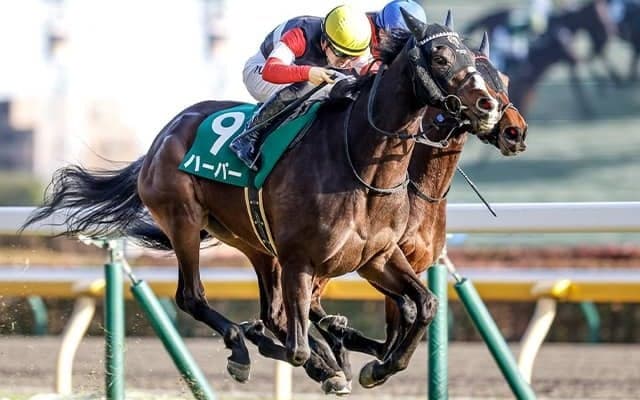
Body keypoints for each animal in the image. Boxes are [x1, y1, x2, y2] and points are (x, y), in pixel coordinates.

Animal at [22, 13, 502, 392]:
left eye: (475, 60)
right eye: (440, 58)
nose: (489, 106)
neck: (361, 164)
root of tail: (164, 134)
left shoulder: (377, 257)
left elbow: (424, 304)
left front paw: (376, 366)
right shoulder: (302, 261)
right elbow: (298, 347)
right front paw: (324, 360)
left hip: (255, 242)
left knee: (272, 312)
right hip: (184, 221)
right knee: (193, 298)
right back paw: (244, 348)